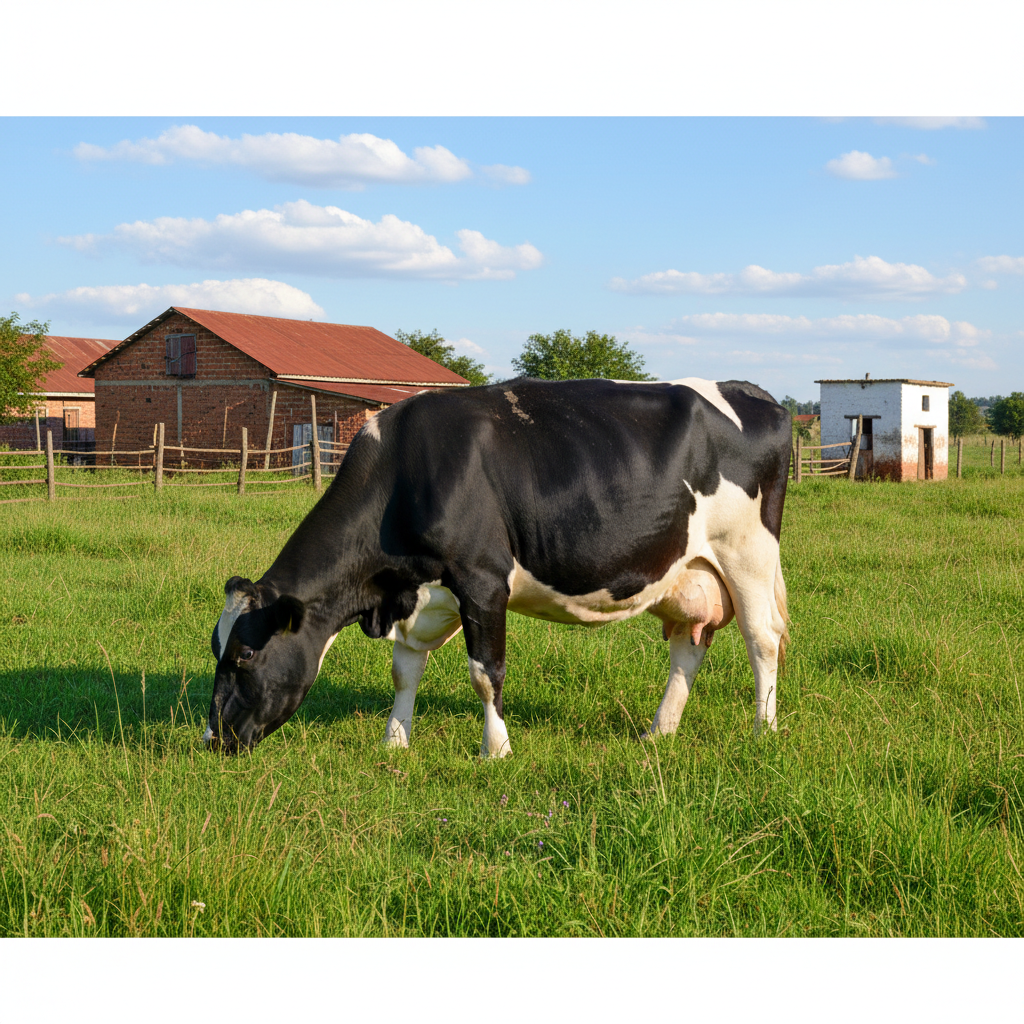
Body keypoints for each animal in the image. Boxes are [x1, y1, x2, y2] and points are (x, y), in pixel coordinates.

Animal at [204, 376, 791, 756]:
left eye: (246, 653)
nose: (212, 740)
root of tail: (755, 393)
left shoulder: (482, 580)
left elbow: (486, 673)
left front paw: (497, 749)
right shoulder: (421, 593)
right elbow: (404, 668)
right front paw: (394, 743)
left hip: (747, 553)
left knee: (762, 639)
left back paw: (763, 731)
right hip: (690, 571)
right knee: (688, 648)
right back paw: (659, 732)